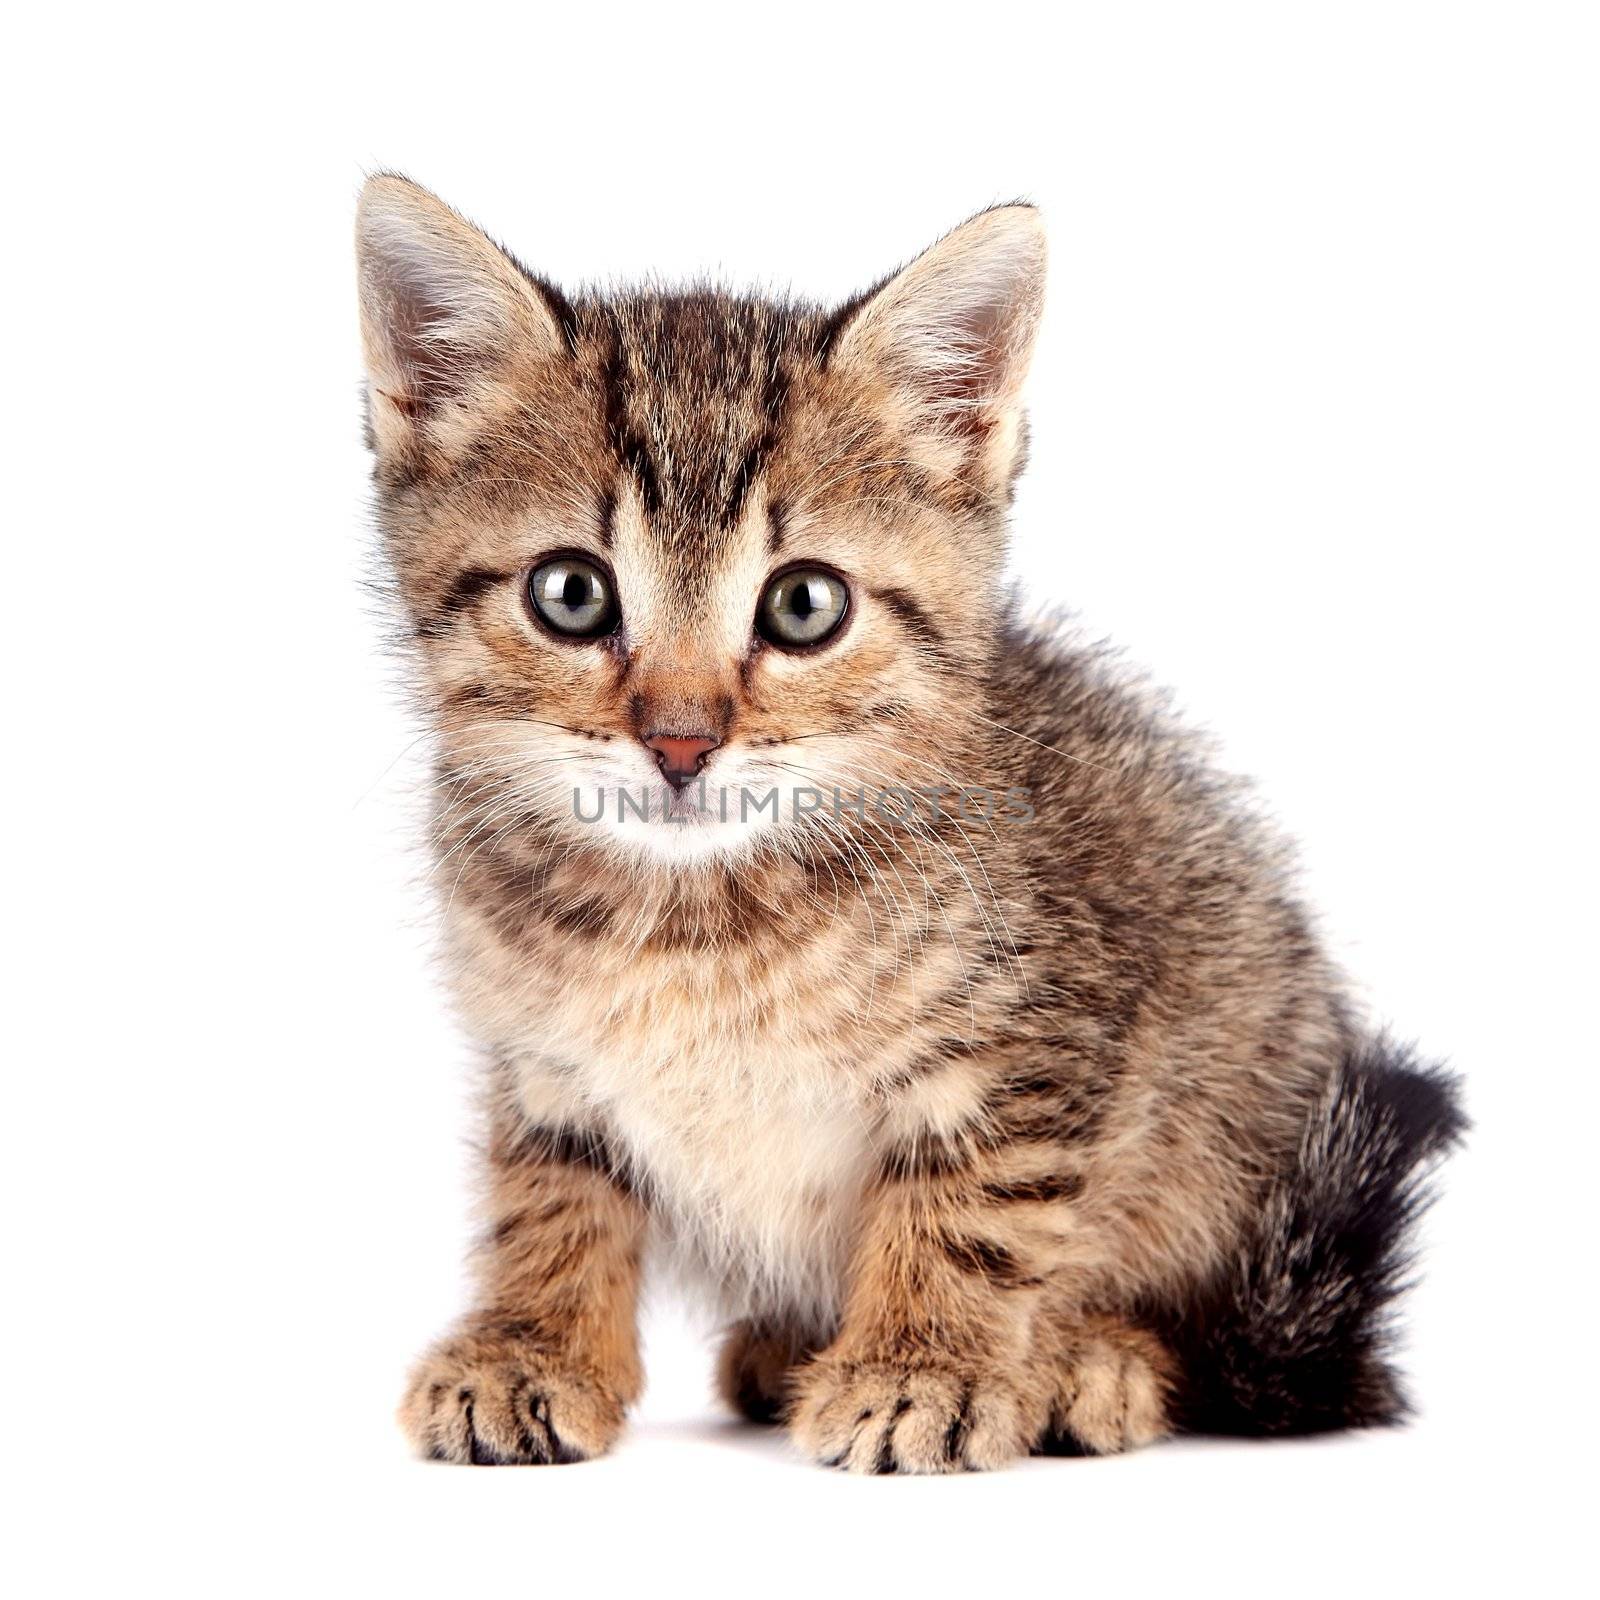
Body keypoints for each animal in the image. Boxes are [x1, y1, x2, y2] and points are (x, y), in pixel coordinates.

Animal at [360, 178, 1465, 1472]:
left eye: (803, 604)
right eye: (571, 593)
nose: (680, 744)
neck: (691, 917)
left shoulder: (1040, 1038)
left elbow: (972, 1210)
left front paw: (919, 1368)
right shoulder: (543, 1066)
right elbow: (547, 1201)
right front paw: (531, 1346)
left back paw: (1089, 1358)